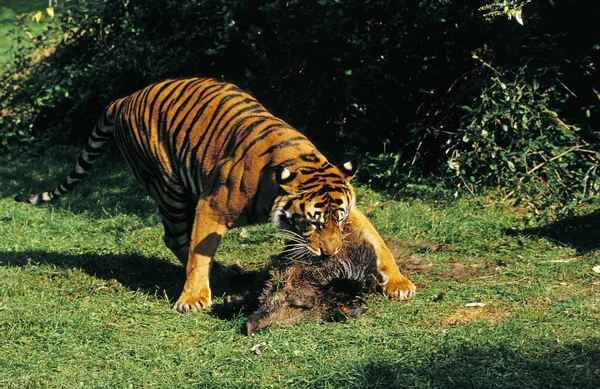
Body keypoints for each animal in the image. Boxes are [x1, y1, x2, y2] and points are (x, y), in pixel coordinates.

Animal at [15, 77, 418, 310]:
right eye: (314, 222)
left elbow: (377, 240)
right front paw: (193, 298)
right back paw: (222, 272)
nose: (331, 253)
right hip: (170, 188)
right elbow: (199, 251)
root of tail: (125, 98)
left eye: (338, 220)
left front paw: (399, 283)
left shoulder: (352, 208)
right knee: (177, 238)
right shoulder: (213, 204)